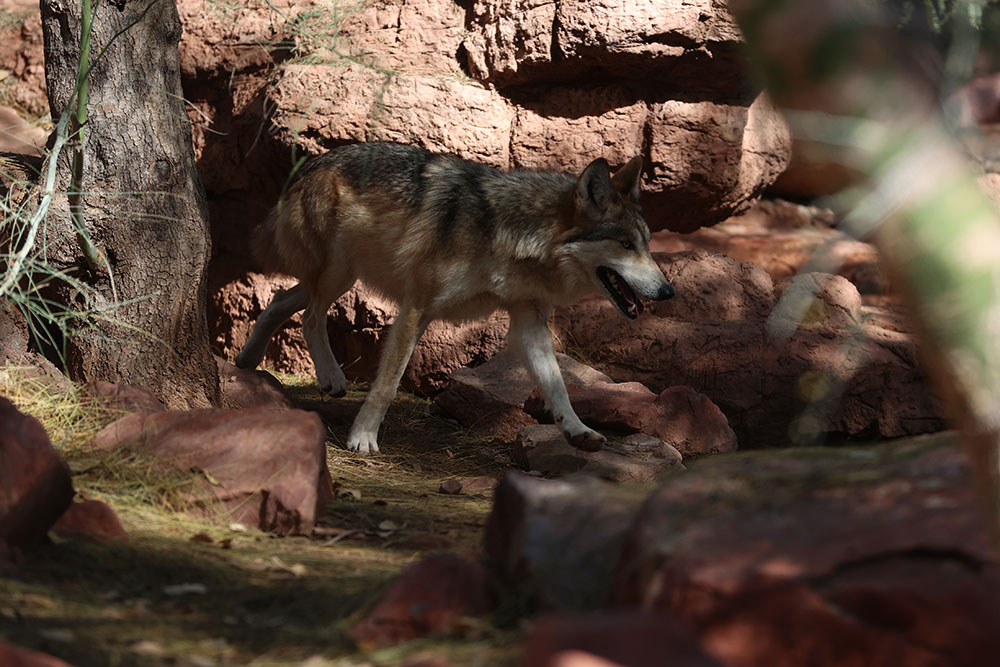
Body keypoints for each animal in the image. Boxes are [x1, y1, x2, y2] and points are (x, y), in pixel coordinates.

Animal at [236, 141, 672, 454]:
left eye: (647, 244)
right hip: (339, 274)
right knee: (309, 315)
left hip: (340, 277)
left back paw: (250, 361)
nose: (668, 291)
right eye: (626, 244)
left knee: (280, 301)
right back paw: (329, 375)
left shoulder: (529, 323)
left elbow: (557, 385)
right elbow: (388, 384)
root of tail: (312, 163)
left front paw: (578, 430)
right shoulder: (416, 308)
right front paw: (362, 438)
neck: (515, 235)